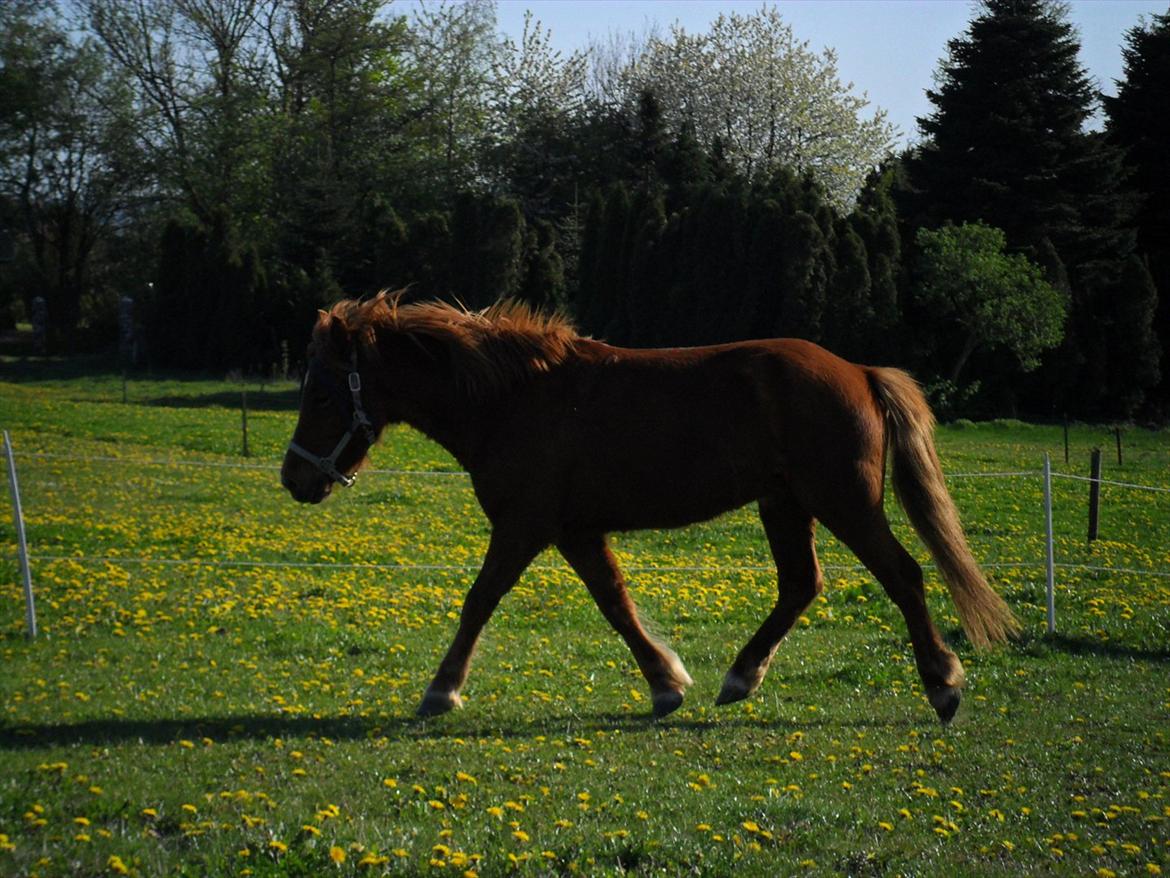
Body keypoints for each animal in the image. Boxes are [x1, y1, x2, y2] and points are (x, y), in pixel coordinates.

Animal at [280, 292, 1015, 725]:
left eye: (322, 393)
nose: (294, 477)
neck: (512, 398)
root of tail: (859, 371)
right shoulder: (574, 531)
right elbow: (615, 603)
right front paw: (667, 684)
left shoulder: (523, 526)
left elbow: (479, 600)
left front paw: (441, 691)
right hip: (784, 504)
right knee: (801, 585)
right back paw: (740, 677)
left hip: (843, 501)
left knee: (903, 576)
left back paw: (943, 685)